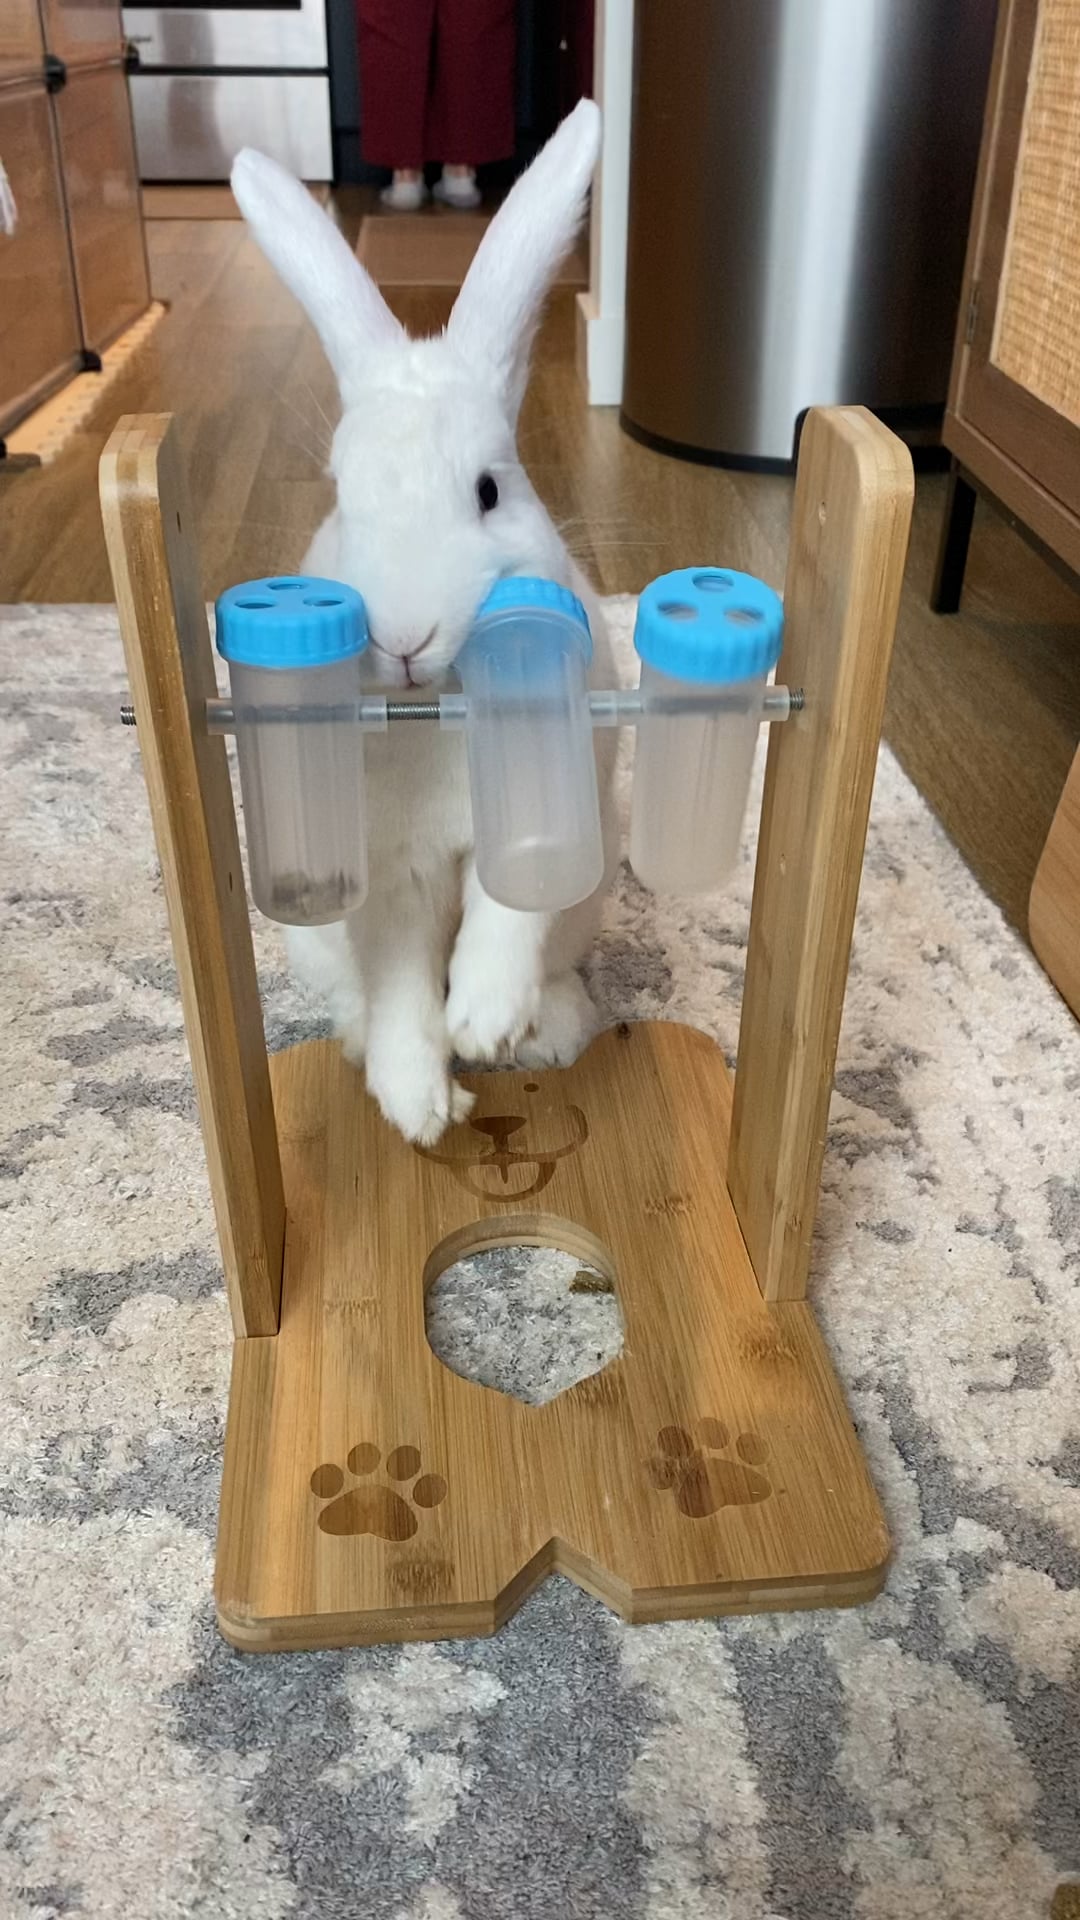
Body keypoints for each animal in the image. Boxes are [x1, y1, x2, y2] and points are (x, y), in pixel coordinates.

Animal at [231, 101, 618, 1147]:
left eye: (488, 491)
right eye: (339, 497)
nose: (400, 639)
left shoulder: (535, 830)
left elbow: (503, 916)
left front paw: (481, 1025)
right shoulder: (391, 876)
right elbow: (404, 982)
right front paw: (420, 1106)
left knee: (556, 966)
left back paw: (551, 1033)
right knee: (356, 997)